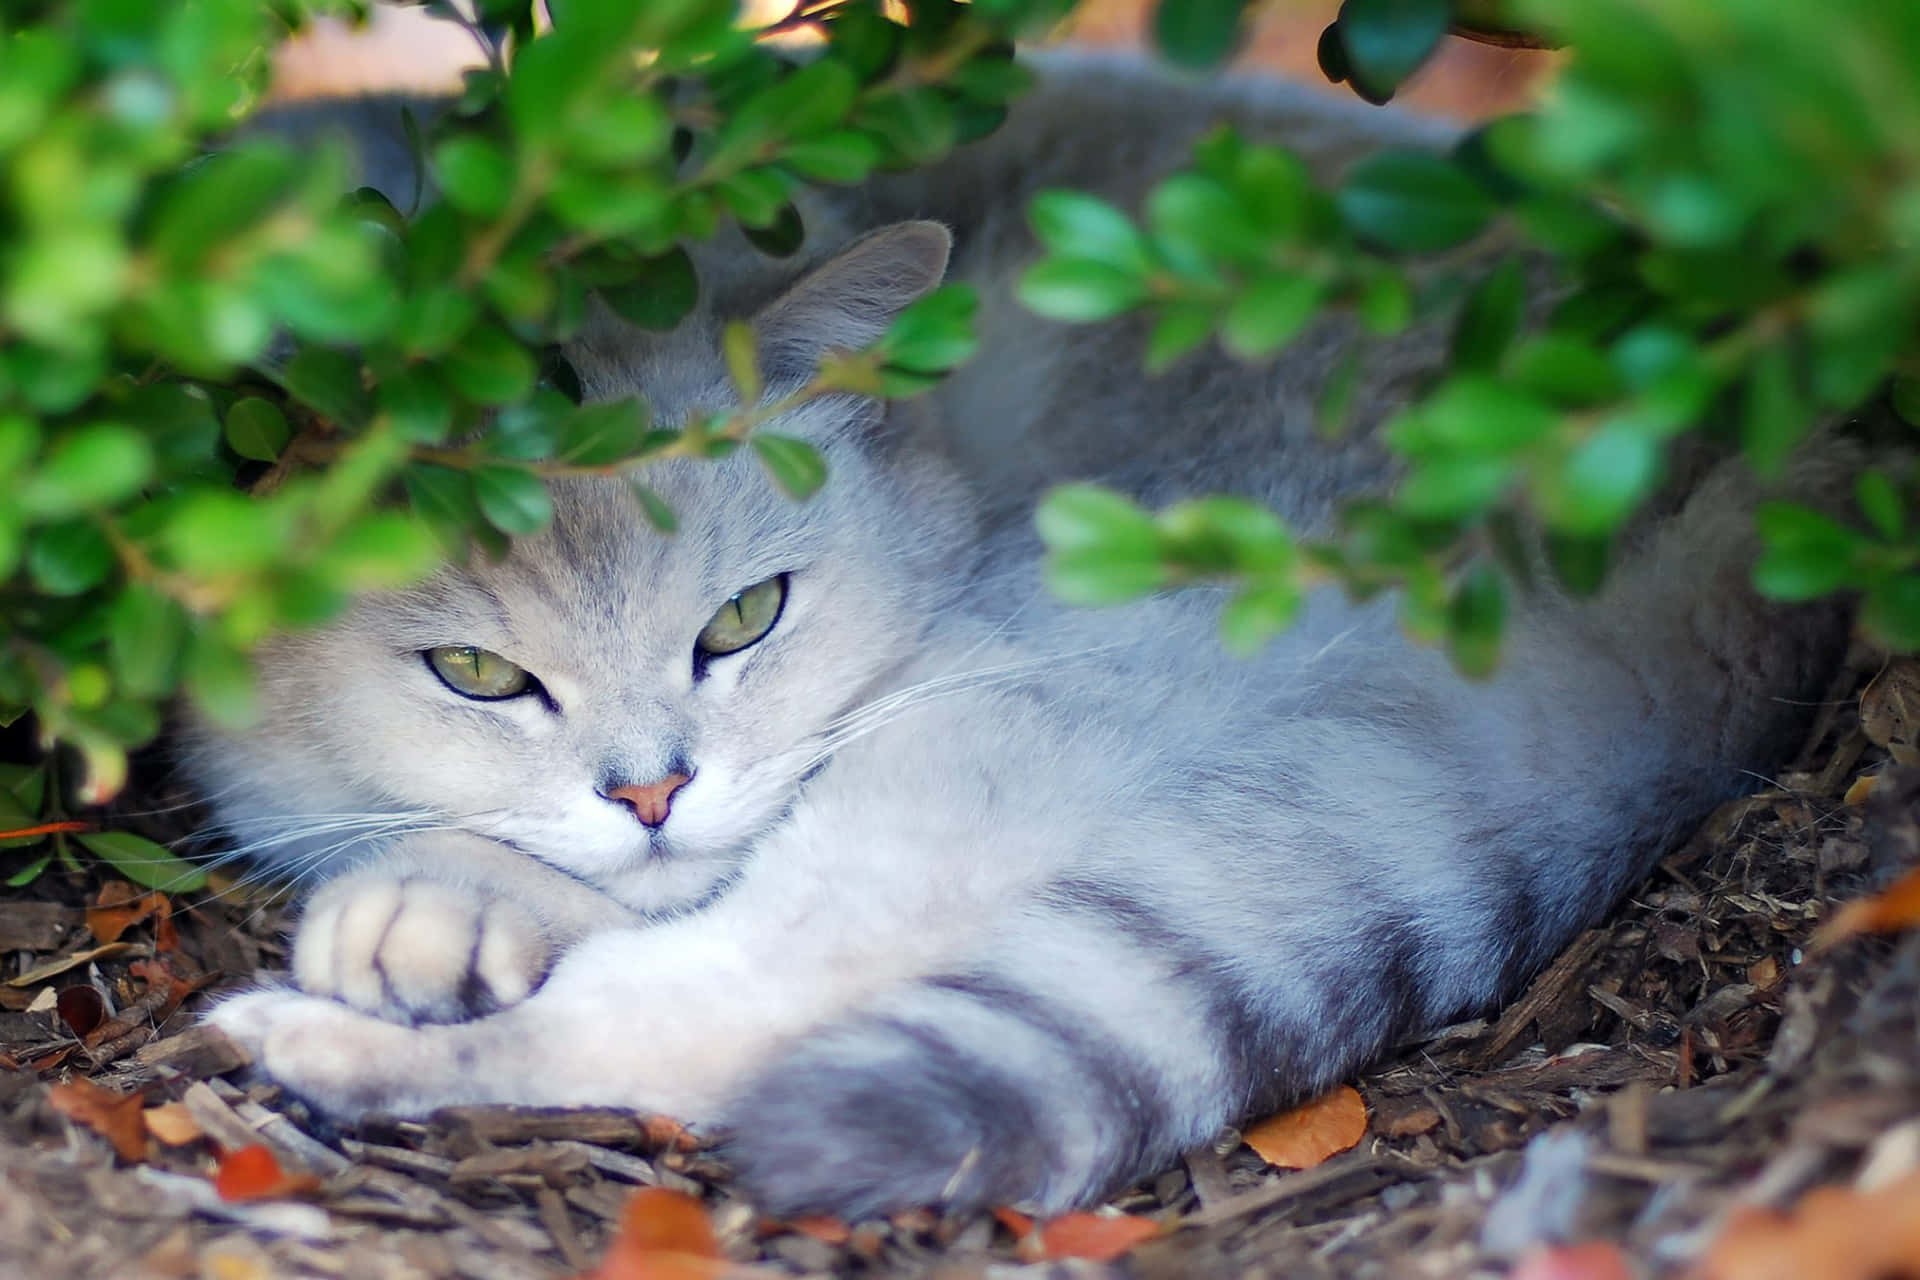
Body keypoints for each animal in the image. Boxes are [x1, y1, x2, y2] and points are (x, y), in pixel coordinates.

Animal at [194, 55, 1843, 1220]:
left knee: (748, 997)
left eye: (744, 620)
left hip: (1058, 664)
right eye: (477, 676)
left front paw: (431, 908)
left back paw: (329, 1038)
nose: (652, 792)